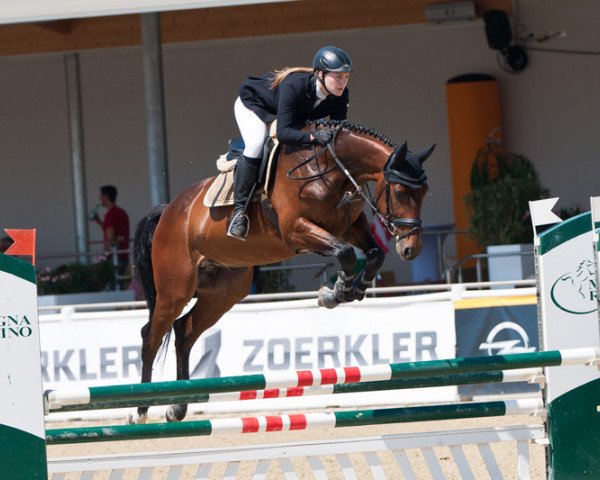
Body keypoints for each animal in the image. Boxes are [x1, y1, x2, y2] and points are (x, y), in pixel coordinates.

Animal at [131, 120, 434, 424]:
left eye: (425, 193)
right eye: (399, 191)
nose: (411, 249)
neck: (329, 168)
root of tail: (168, 210)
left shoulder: (350, 226)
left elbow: (373, 255)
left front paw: (352, 289)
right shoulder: (297, 230)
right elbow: (345, 253)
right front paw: (335, 292)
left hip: (224, 292)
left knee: (185, 331)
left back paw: (177, 407)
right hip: (176, 288)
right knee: (150, 337)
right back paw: (140, 410)